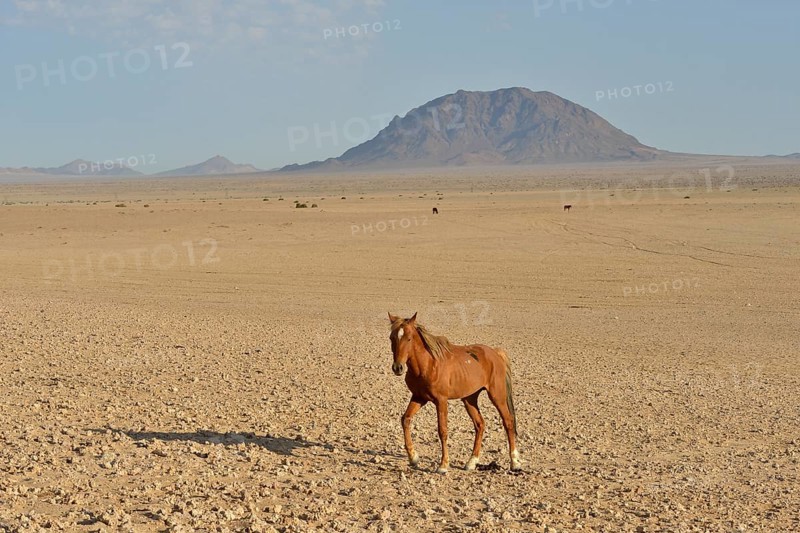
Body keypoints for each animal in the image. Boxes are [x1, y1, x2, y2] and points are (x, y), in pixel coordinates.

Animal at [388, 312, 521, 473]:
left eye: (409, 338)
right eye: (391, 338)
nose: (398, 367)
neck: (428, 364)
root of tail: (495, 353)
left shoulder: (441, 401)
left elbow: (442, 430)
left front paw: (443, 465)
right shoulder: (419, 397)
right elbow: (405, 419)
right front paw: (413, 457)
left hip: (497, 396)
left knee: (508, 422)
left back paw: (515, 462)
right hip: (469, 399)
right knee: (480, 424)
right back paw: (472, 462)